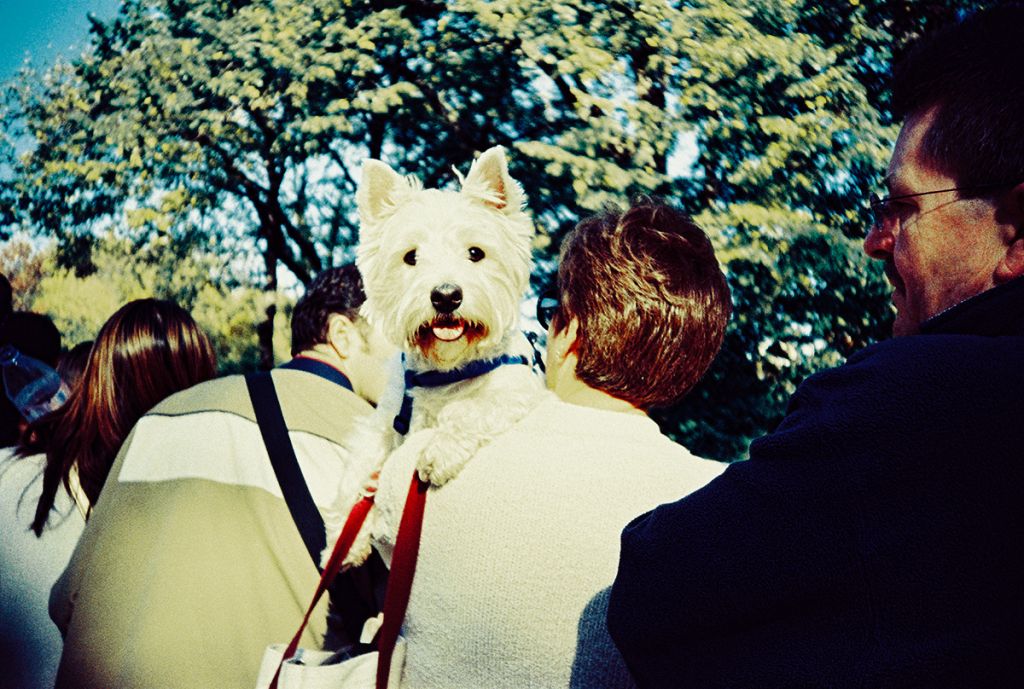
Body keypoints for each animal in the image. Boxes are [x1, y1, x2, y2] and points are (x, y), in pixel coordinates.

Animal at [323, 143, 548, 565]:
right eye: (411, 257)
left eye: (475, 252)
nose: (446, 296)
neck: (444, 368)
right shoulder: (385, 421)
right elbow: (359, 467)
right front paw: (344, 539)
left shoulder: (518, 392)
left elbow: (470, 409)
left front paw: (438, 451)